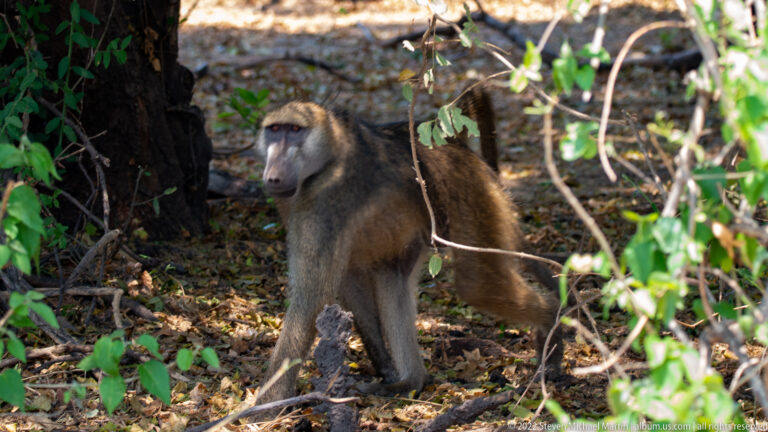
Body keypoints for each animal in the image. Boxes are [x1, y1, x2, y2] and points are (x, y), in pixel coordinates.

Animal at [254, 88, 563, 402]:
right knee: (392, 276)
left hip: (469, 192)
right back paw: (411, 381)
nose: (274, 175)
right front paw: (385, 368)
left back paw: (551, 326)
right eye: (274, 130)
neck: (330, 152)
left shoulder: (326, 199)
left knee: (477, 286)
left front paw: (268, 404)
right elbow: (349, 278)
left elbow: (310, 301)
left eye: (294, 131)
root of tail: (452, 146)